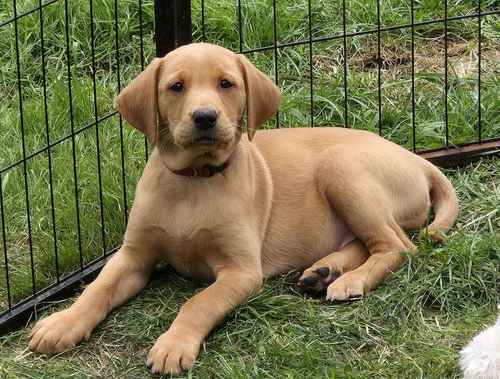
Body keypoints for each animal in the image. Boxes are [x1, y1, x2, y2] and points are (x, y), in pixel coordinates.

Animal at [26, 43, 458, 376]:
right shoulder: (134, 255)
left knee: (399, 245)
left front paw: (173, 345)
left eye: (226, 84)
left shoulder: (241, 270)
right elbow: (97, 289)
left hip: (342, 168)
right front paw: (63, 323)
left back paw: (350, 281)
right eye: (176, 86)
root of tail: (416, 159)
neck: (194, 181)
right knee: (365, 242)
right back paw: (323, 271)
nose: (205, 117)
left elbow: (199, 302)